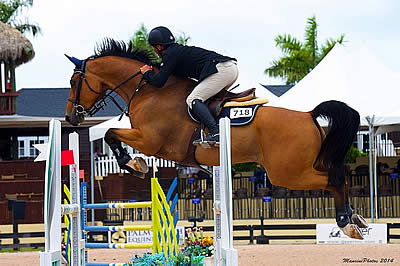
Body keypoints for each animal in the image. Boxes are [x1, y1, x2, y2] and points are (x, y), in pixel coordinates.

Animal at [65, 38, 368, 240]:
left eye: (73, 82)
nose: (71, 117)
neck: (148, 91)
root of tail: (308, 115)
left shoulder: (150, 141)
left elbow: (110, 134)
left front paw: (132, 164)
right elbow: (111, 134)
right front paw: (135, 164)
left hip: (288, 172)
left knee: (333, 180)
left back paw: (345, 222)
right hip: (302, 165)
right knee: (338, 176)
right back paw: (355, 218)